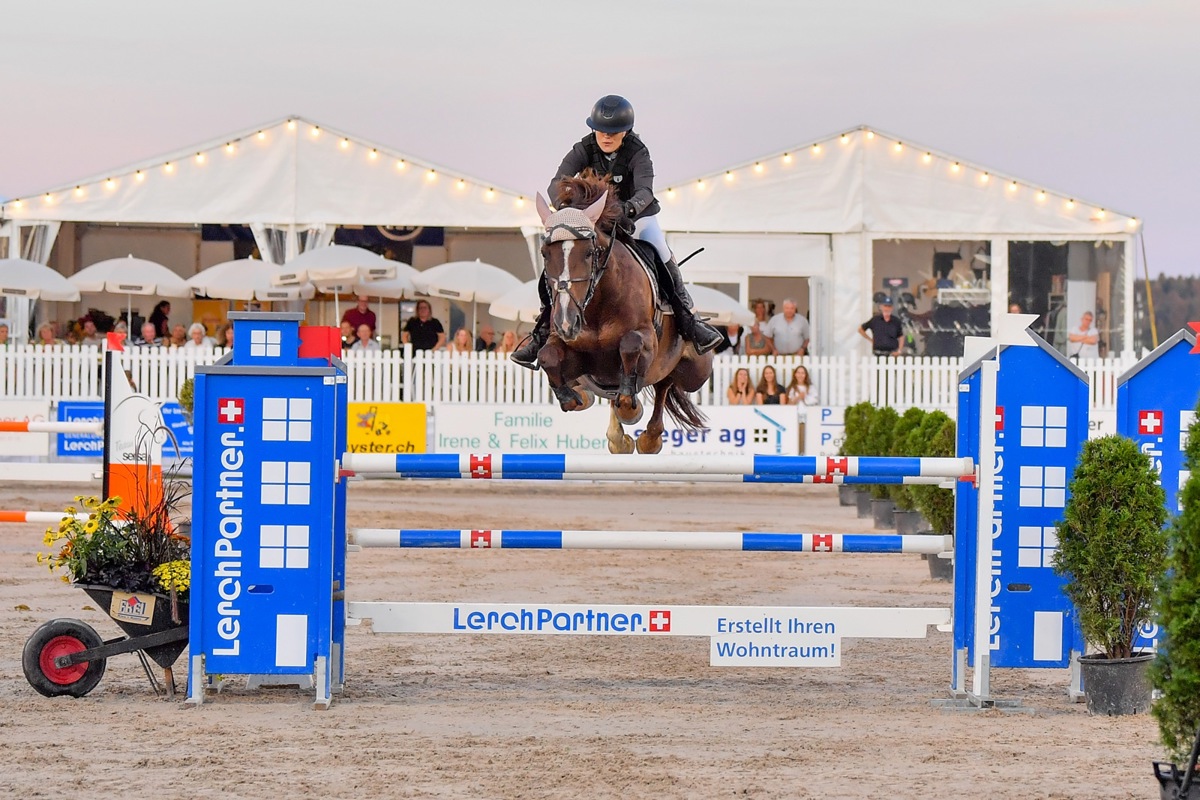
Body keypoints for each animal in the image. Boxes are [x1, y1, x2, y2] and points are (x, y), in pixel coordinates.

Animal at [535, 171, 710, 453]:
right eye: (544, 253)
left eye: (589, 253)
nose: (566, 323)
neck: (597, 305)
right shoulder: (569, 349)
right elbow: (548, 356)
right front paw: (573, 397)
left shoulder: (646, 341)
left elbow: (630, 346)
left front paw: (630, 411)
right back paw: (617, 435)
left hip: (696, 372)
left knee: (666, 382)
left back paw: (648, 438)